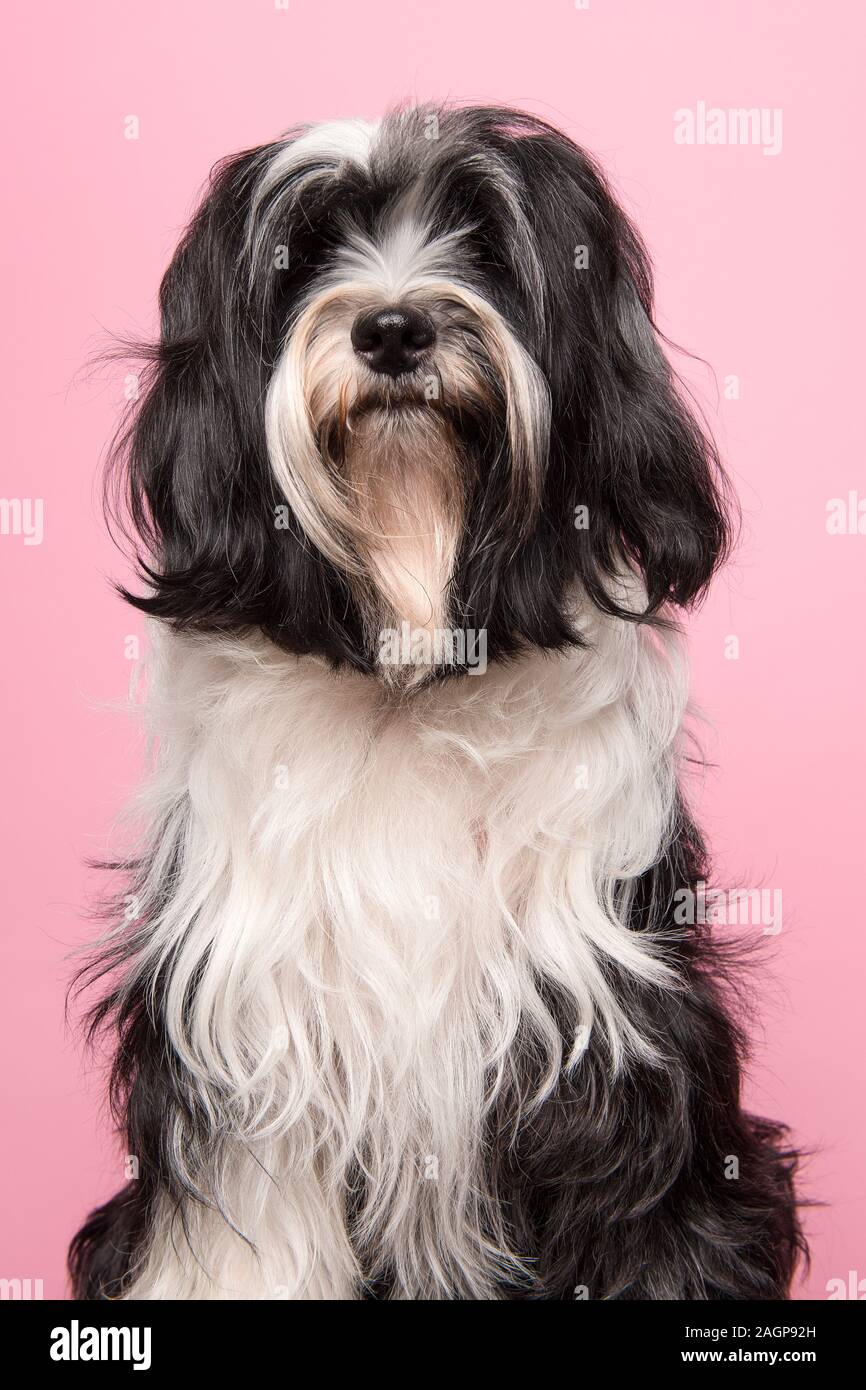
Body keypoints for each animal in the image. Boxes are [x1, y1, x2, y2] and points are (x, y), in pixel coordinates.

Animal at [69, 102, 806, 1295]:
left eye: (488, 246)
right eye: (306, 253)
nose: (393, 330)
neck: (410, 673)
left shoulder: (605, 1024)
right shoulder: (247, 1020)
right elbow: (242, 1236)